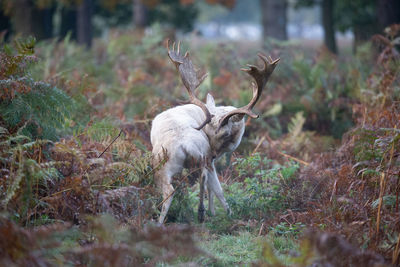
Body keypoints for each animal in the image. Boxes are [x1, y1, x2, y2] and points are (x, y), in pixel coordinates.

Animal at [152, 40, 280, 224]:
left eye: (225, 133)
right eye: (207, 127)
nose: (213, 153)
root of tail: (185, 145)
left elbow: (214, 188)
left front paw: (217, 212)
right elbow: (215, 188)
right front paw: (221, 213)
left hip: (168, 164)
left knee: (175, 189)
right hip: (181, 161)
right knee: (200, 180)